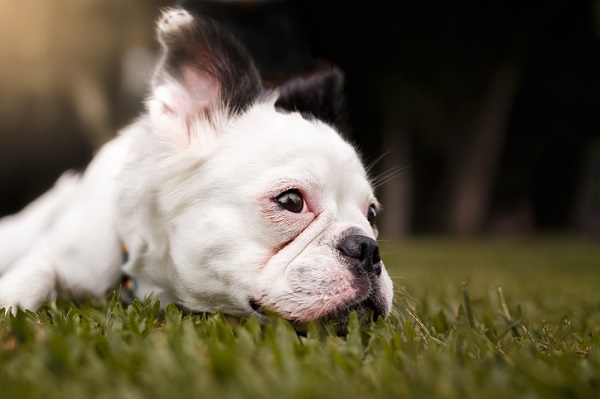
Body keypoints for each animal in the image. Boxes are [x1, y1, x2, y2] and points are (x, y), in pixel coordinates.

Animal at [0, 9, 394, 332]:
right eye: (291, 201)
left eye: (372, 215)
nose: (367, 248)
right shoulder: (62, 255)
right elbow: (35, 272)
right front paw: (9, 299)